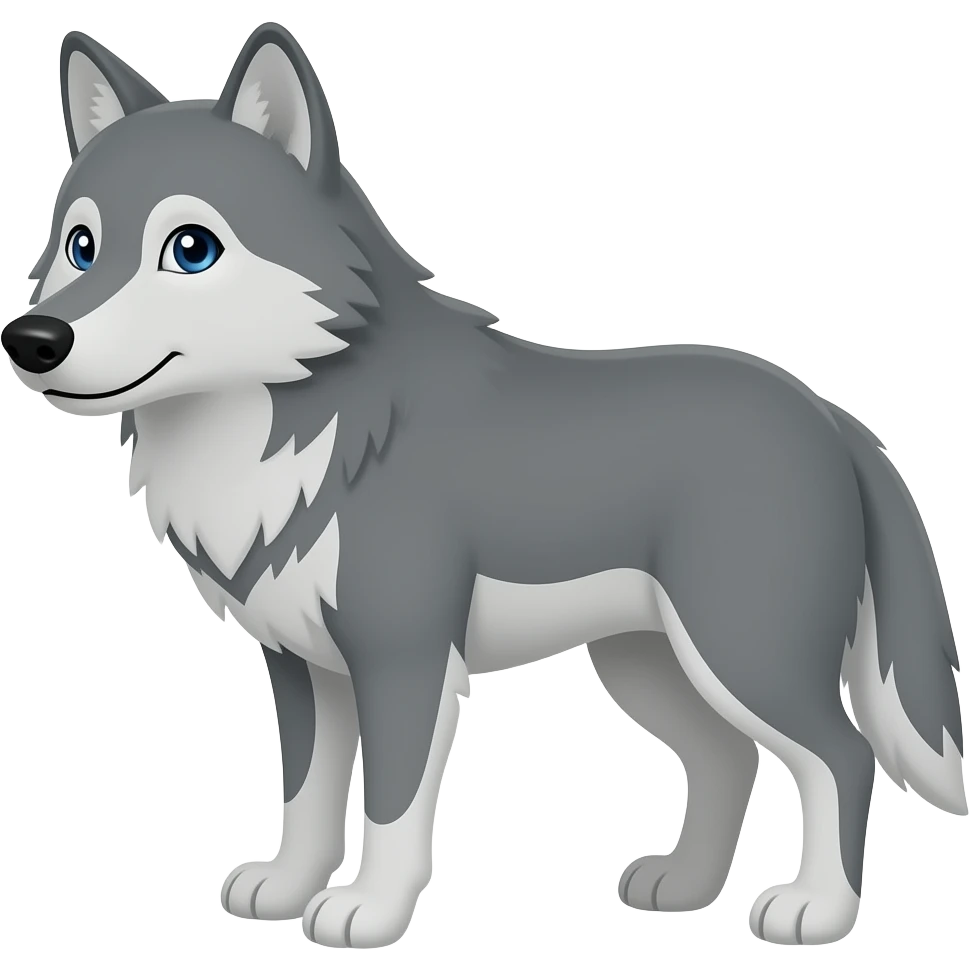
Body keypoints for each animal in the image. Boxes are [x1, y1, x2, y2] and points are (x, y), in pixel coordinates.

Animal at [3, 22, 965, 951]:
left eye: (190, 249)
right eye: (80, 245)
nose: (33, 339)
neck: (297, 431)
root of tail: (828, 414)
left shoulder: (406, 657)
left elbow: (391, 807)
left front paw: (368, 914)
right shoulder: (302, 665)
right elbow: (308, 794)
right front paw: (284, 889)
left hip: (740, 652)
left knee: (842, 756)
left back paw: (817, 913)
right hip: (647, 663)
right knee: (729, 760)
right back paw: (684, 889)